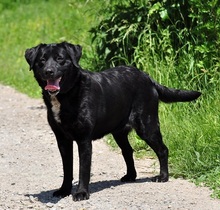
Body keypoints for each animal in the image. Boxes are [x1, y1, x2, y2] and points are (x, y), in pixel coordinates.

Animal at [24, 41, 201, 201]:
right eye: (42, 60)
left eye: (60, 59)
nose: (49, 71)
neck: (66, 96)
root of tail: (148, 77)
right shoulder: (62, 139)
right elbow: (67, 168)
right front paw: (64, 190)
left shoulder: (84, 139)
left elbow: (83, 169)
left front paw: (81, 193)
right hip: (119, 132)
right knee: (128, 151)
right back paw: (130, 176)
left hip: (147, 125)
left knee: (163, 149)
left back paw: (163, 176)